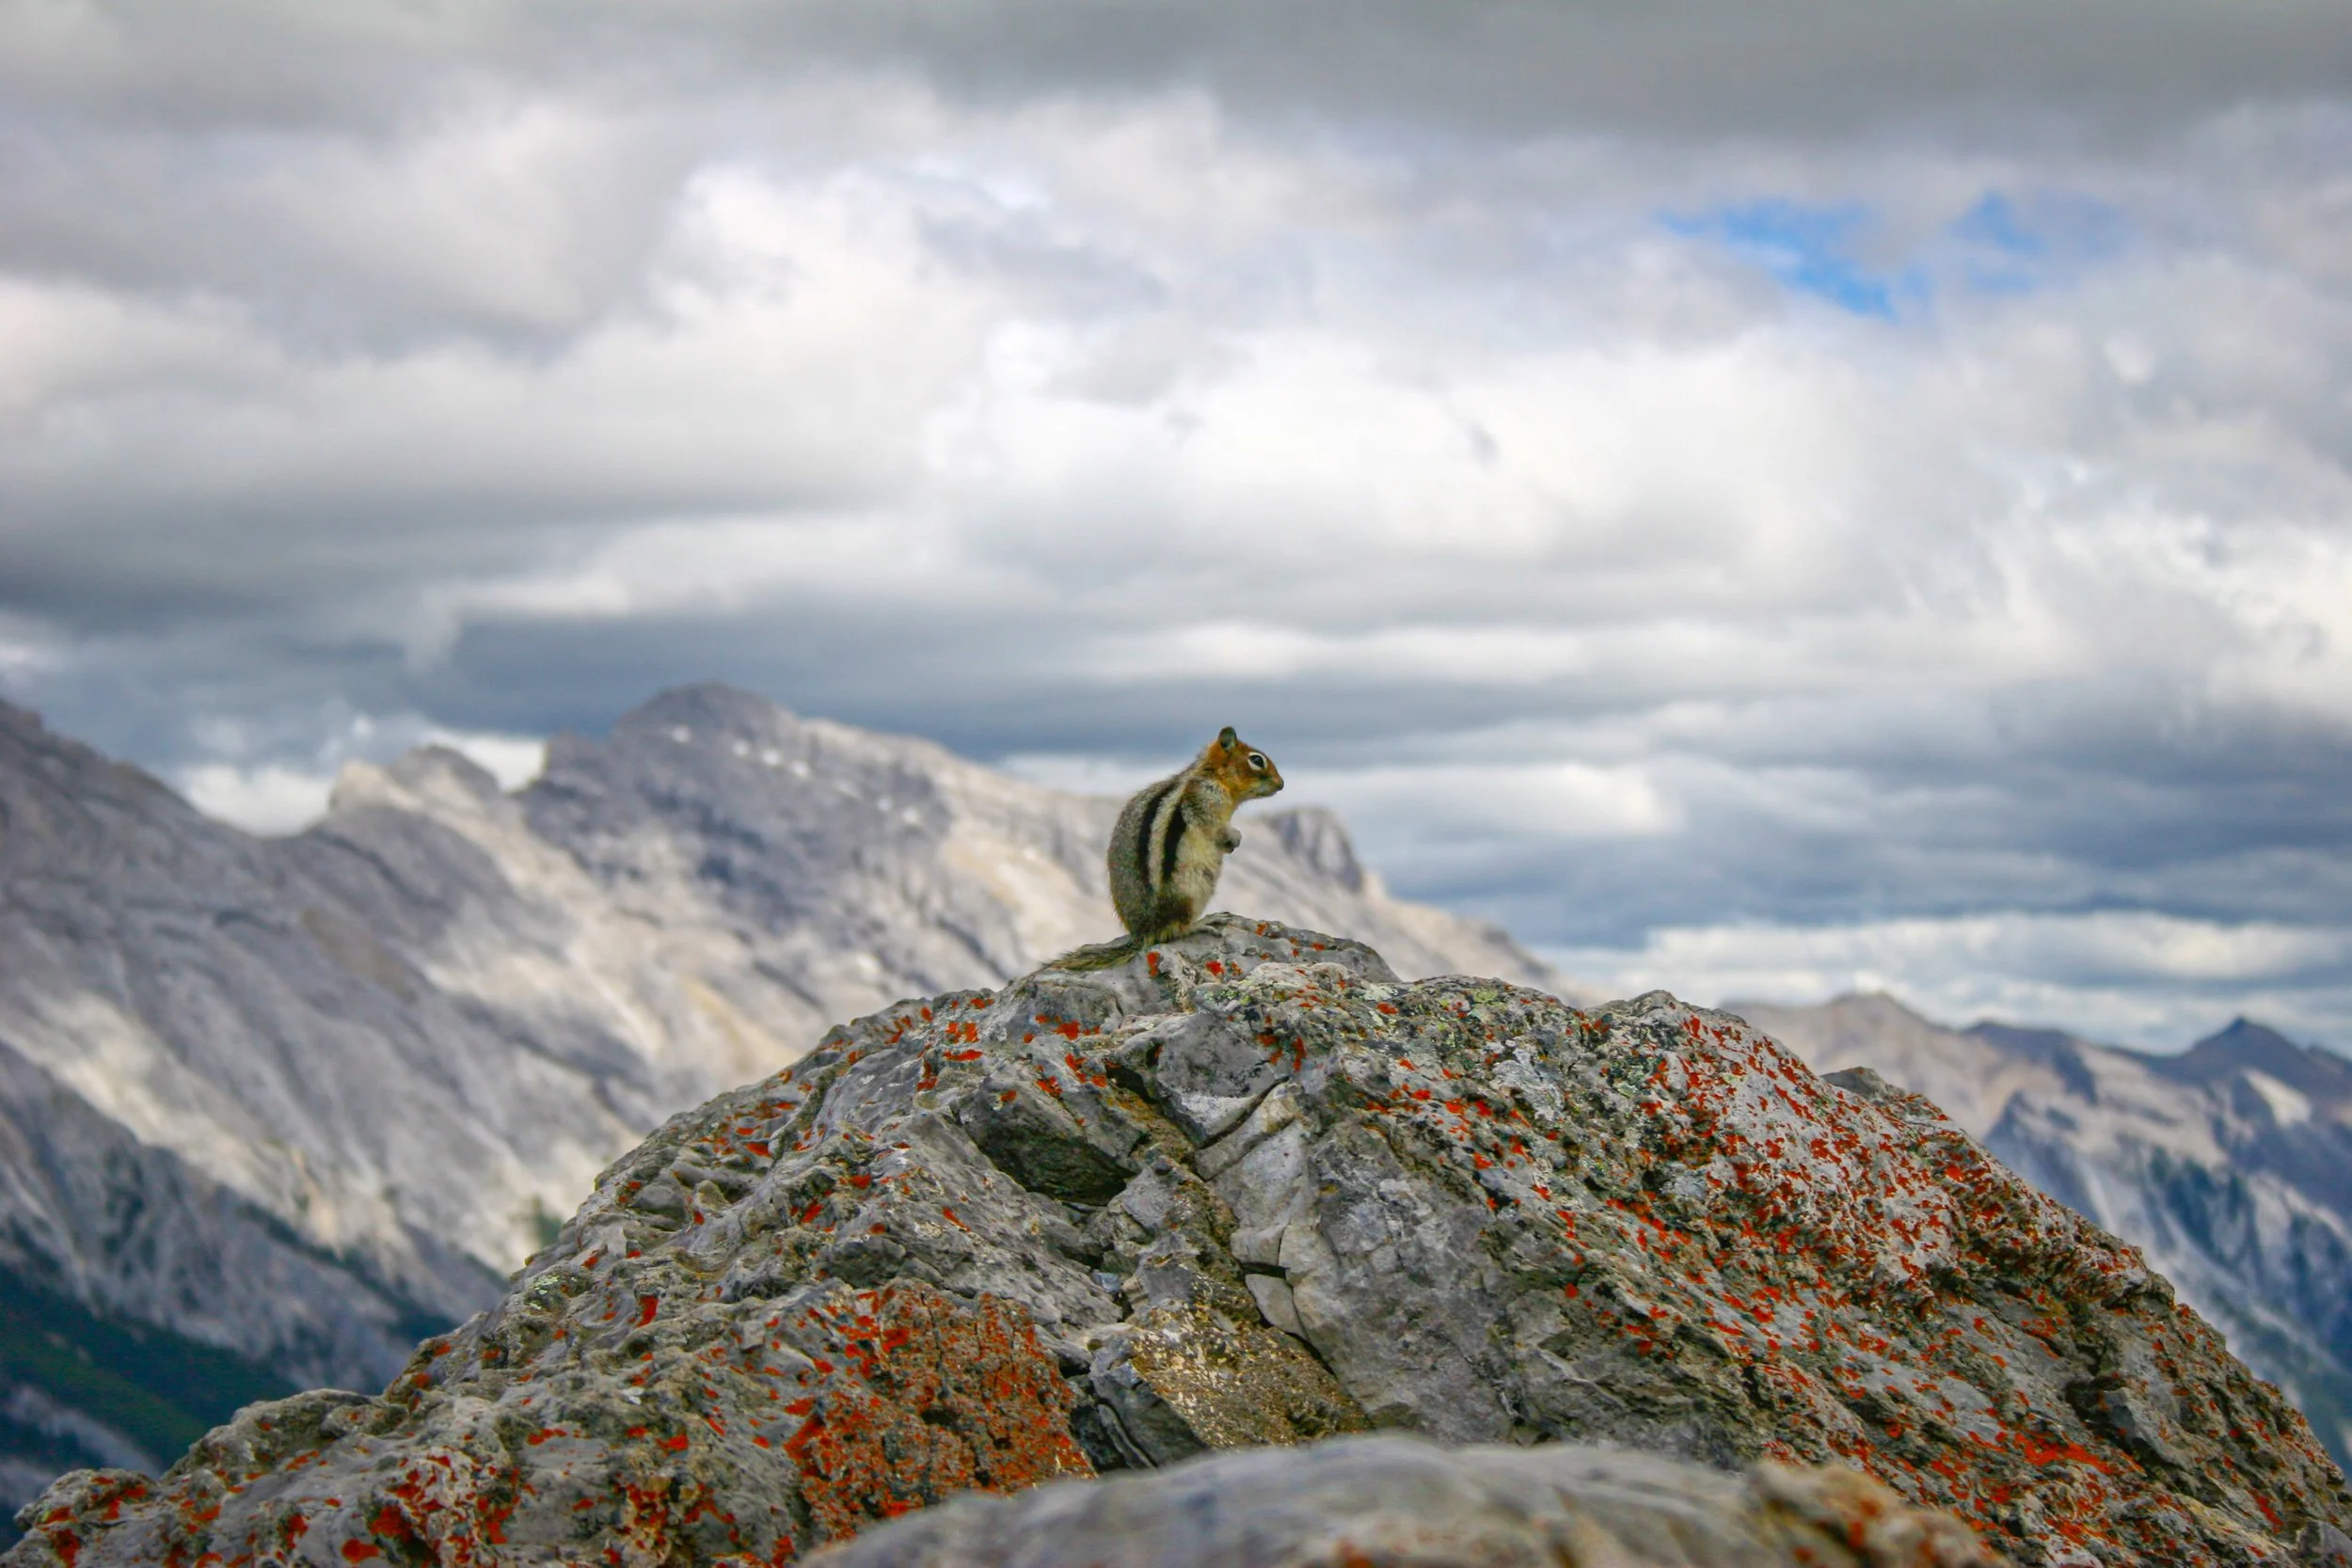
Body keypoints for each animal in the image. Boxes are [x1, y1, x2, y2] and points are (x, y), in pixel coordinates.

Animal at [1049, 727, 1283, 971]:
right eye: (1256, 760)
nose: (1281, 784)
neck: (1210, 775)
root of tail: (1145, 933)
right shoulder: (1208, 802)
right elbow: (1217, 830)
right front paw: (1234, 838)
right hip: (1192, 893)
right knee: (1177, 930)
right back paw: (1206, 921)